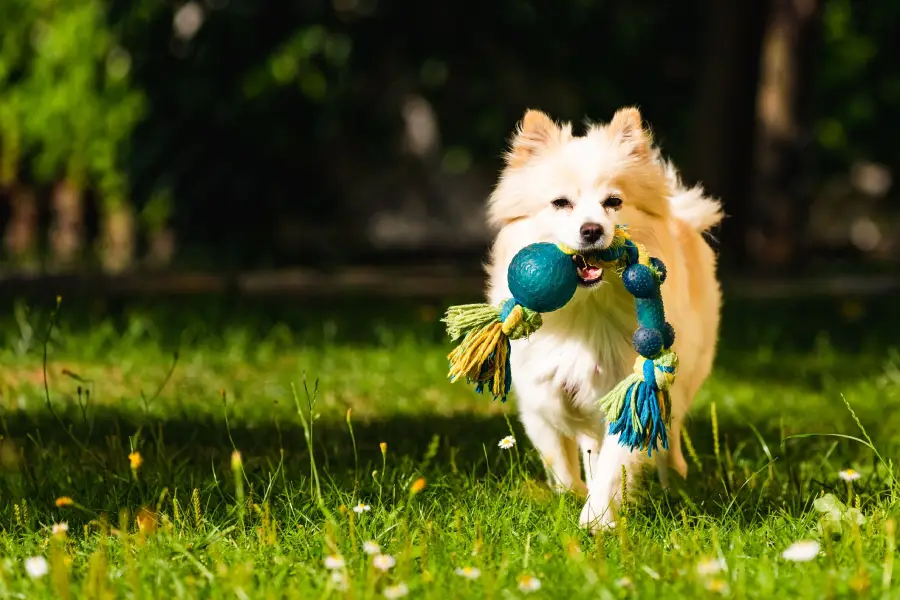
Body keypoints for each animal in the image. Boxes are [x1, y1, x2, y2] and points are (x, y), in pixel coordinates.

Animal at [486, 108, 724, 528]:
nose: (592, 229)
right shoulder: (539, 390)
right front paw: (571, 494)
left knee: (672, 430)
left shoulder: (629, 389)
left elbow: (618, 460)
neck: (588, 306)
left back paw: (674, 480)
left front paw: (596, 519)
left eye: (613, 201)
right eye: (561, 203)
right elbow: (557, 448)